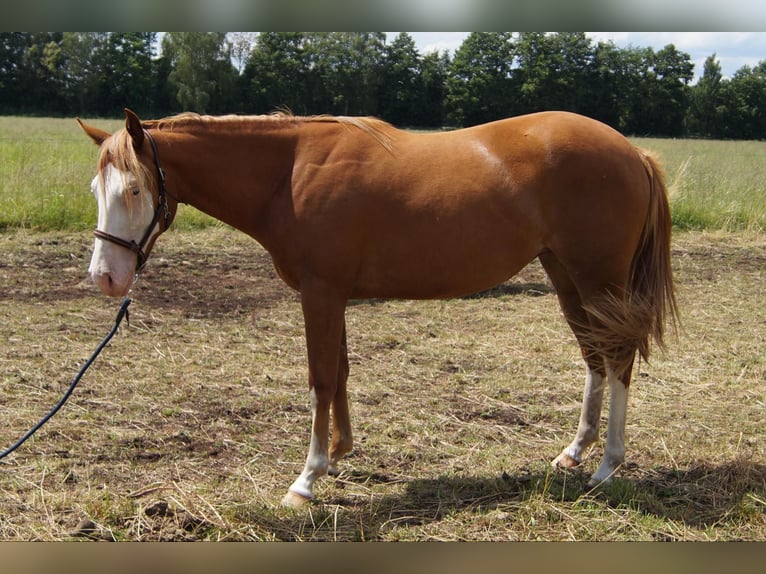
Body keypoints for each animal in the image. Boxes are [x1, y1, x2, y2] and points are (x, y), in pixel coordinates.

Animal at [78, 108, 680, 508]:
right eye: (96, 189)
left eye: (135, 190)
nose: (106, 277)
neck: (288, 173)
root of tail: (633, 152)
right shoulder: (334, 294)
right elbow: (341, 373)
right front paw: (340, 450)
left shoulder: (321, 292)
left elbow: (321, 378)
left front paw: (307, 479)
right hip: (566, 276)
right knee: (595, 357)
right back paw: (574, 453)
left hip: (599, 279)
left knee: (618, 359)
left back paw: (607, 466)